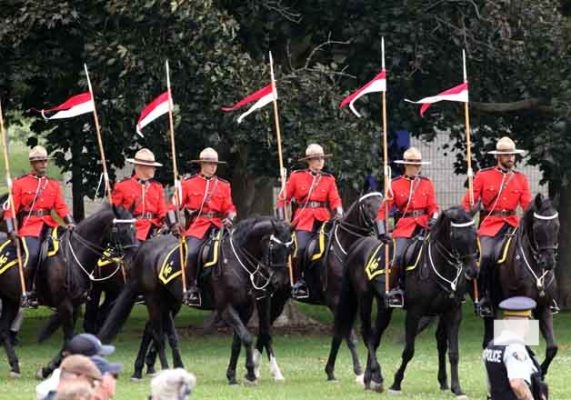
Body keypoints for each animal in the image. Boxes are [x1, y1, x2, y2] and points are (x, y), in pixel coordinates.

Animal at [99, 217, 292, 382]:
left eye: (290, 250)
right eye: (274, 248)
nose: (278, 282)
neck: (236, 261)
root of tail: (144, 248)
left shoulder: (247, 309)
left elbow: (239, 341)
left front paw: (233, 374)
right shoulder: (226, 309)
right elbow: (246, 337)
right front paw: (251, 373)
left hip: (169, 302)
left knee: (165, 333)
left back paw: (167, 369)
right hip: (153, 300)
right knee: (157, 334)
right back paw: (162, 370)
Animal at [251, 192, 382, 382]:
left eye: (383, 202)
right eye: (369, 205)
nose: (381, 230)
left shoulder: (350, 302)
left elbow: (339, 336)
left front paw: (331, 371)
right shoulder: (336, 301)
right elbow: (348, 335)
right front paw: (358, 372)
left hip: (279, 299)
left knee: (265, 327)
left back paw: (256, 368)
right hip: (266, 297)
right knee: (264, 328)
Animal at [326, 208, 478, 396]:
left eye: (474, 234)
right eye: (457, 236)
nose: (473, 271)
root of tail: (359, 244)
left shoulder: (453, 313)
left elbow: (454, 353)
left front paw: (457, 388)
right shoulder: (414, 313)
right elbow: (409, 351)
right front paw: (396, 383)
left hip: (384, 306)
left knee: (375, 336)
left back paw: (370, 378)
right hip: (364, 297)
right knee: (367, 333)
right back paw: (377, 375)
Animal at [484, 194, 560, 378]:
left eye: (557, 226)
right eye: (538, 228)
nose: (549, 262)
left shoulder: (543, 307)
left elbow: (552, 347)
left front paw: (541, 371)